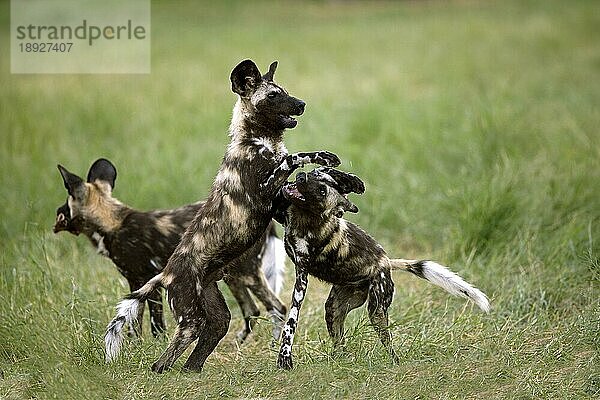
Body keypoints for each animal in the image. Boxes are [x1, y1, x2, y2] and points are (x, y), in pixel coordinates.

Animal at [54, 158, 286, 342]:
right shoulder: (136, 282)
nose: (54, 222)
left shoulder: (147, 281)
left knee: (277, 307)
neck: (113, 222)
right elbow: (134, 322)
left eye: (62, 209)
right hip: (233, 276)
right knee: (252, 310)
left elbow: (154, 324)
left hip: (247, 274)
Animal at [102, 58, 338, 372]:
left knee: (206, 340)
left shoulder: (276, 202)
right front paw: (320, 157)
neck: (257, 141)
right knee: (166, 357)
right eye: (273, 96)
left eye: (285, 92)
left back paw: (192, 371)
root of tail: (166, 273)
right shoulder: (264, 189)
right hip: (190, 317)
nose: (301, 104)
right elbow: (292, 158)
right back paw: (165, 372)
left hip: (214, 308)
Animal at [274, 167, 490, 370]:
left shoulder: (302, 276)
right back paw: (338, 361)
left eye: (321, 191)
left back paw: (394, 363)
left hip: (376, 311)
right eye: (313, 174)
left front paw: (285, 356)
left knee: (388, 343)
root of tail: (386, 262)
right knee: (339, 341)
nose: (301, 176)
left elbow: (291, 321)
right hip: (334, 308)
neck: (304, 218)